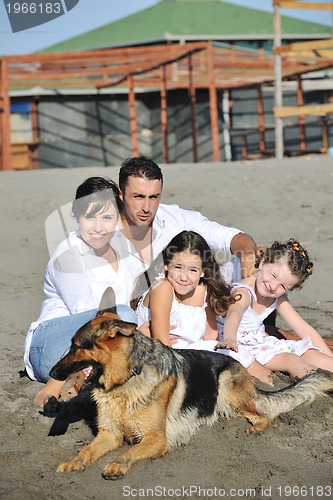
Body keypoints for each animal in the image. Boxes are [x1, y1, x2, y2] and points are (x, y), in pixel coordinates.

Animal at [50, 312, 332, 480]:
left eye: (76, 347)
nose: (52, 373)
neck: (126, 380)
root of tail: (243, 369)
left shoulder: (156, 439)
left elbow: (130, 451)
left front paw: (118, 464)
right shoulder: (109, 434)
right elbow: (87, 450)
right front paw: (74, 462)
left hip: (227, 384)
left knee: (264, 415)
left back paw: (255, 427)